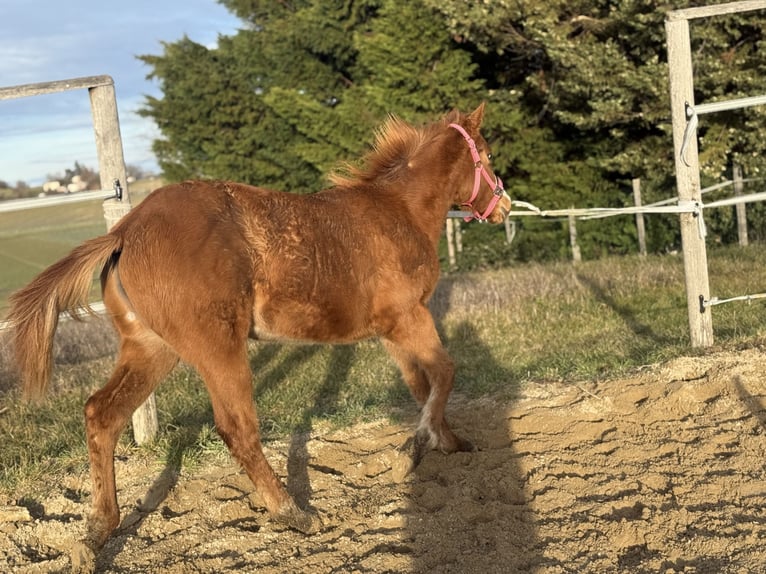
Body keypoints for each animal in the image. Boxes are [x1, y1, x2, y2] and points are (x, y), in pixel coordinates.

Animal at [6, 103, 510, 570]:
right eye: (486, 154)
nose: (504, 207)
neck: (397, 212)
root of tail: (124, 231)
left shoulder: (391, 329)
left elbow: (422, 383)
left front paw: (449, 442)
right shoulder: (410, 316)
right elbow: (445, 372)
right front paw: (414, 450)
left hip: (152, 348)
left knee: (102, 414)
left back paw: (94, 534)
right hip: (216, 347)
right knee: (237, 428)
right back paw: (294, 512)